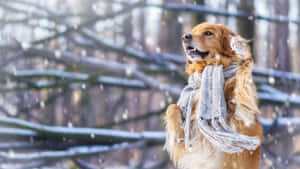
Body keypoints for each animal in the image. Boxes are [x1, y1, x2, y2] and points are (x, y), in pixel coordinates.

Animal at [164, 23, 262, 169]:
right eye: (193, 31)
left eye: (208, 33)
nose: (185, 36)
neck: (210, 67)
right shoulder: (191, 143)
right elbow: (172, 107)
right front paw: (176, 135)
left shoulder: (243, 116)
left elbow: (242, 85)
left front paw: (238, 46)